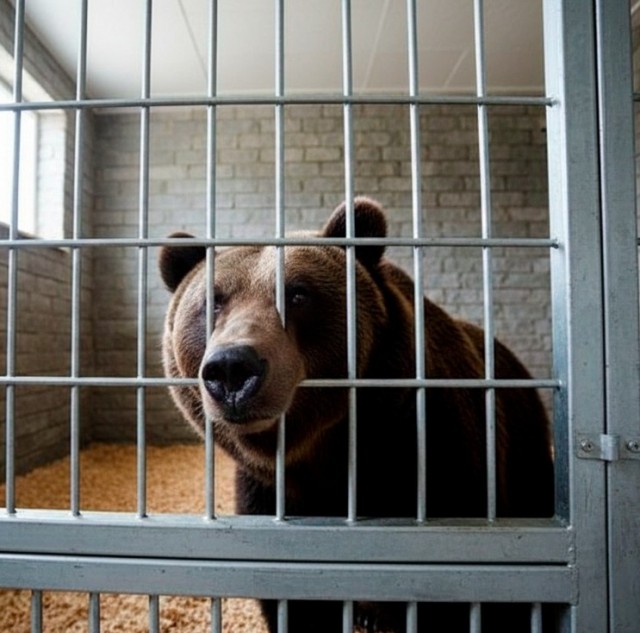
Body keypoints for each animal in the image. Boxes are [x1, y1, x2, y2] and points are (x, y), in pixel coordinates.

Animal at [159, 197, 555, 633]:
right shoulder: (267, 495)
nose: (232, 367)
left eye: (298, 294)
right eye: (213, 301)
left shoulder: (437, 455)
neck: (325, 456)